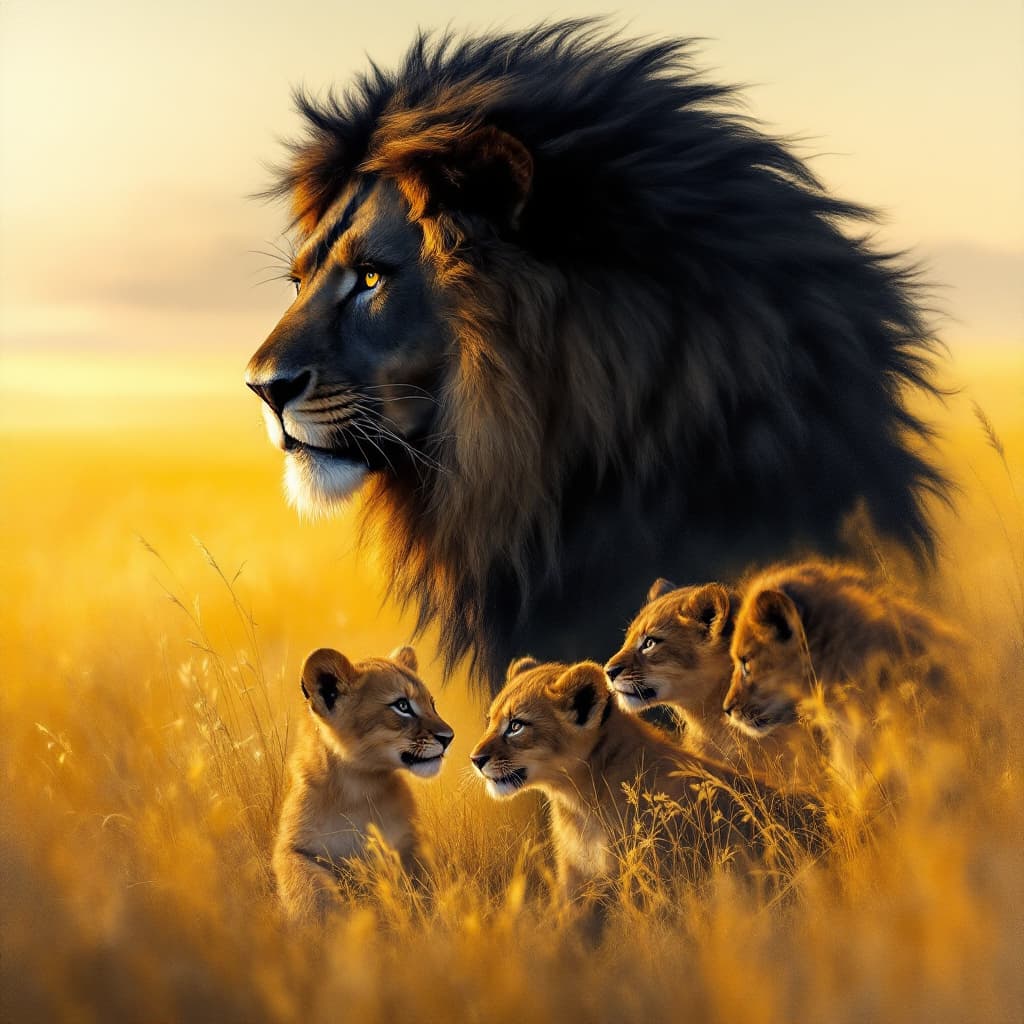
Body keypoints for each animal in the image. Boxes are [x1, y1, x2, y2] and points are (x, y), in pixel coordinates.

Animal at [273, 645, 454, 920]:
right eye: (402, 705)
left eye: (432, 704)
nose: (449, 737)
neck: (357, 788)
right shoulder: (291, 847)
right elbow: (307, 884)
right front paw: (325, 921)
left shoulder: (411, 839)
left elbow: (424, 878)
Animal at [469, 657, 824, 908]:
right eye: (490, 721)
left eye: (516, 725)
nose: (475, 758)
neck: (577, 801)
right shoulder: (576, 882)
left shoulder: (653, 878)